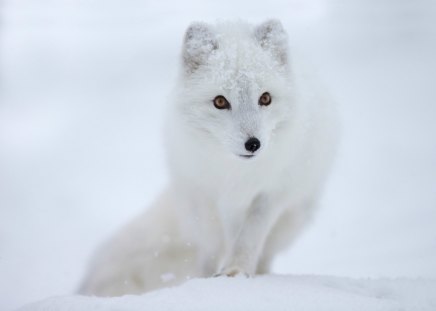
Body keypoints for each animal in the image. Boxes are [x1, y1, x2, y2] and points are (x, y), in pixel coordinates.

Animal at [79, 18, 338, 298]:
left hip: (294, 216)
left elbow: (249, 236)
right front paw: (206, 282)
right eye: (220, 101)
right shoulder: (206, 196)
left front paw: (237, 271)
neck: (236, 173)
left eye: (265, 98)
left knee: (265, 251)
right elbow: (214, 247)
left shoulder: (271, 194)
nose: (253, 144)